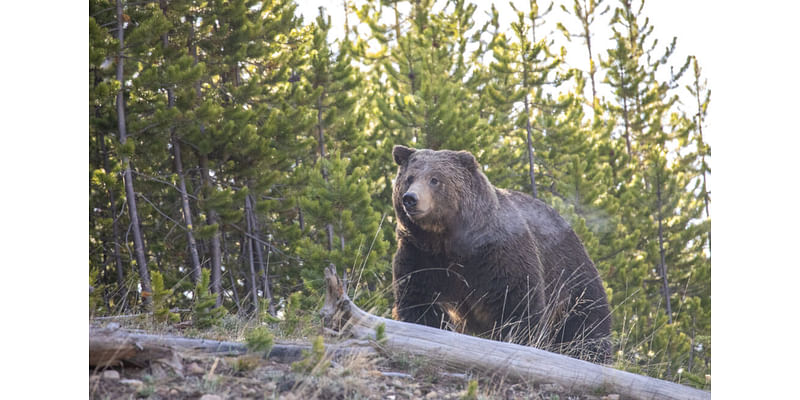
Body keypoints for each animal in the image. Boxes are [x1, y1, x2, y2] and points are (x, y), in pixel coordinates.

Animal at [390, 145, 608, 362]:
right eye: (409, 178)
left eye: (435, 179)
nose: (411, 199)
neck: (446, 240)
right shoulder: (421, 256)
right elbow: (419, 300)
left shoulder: (497, 255)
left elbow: (517, 303)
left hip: (572, 276)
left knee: (586, 324)